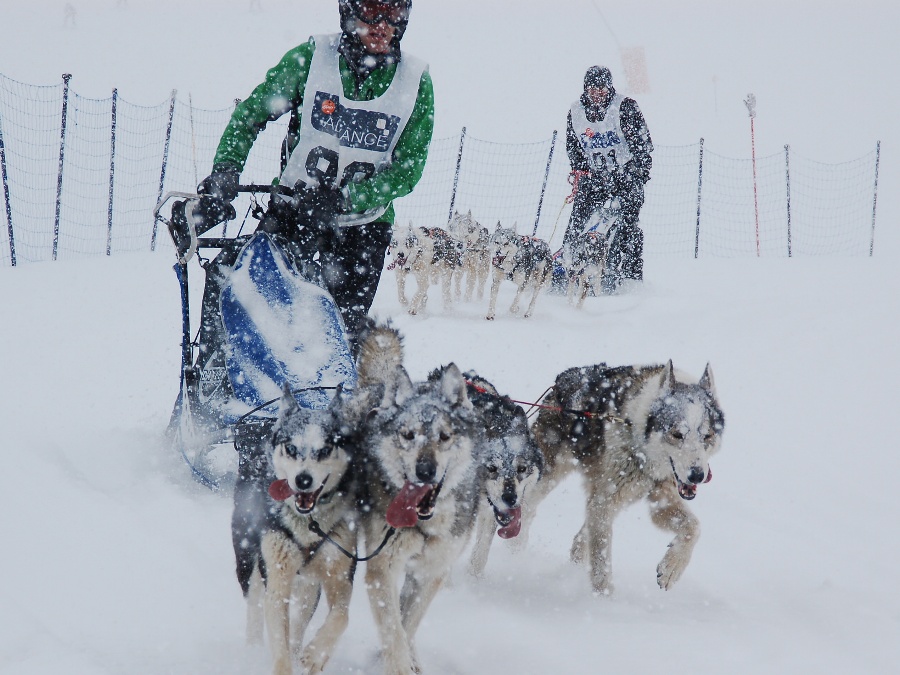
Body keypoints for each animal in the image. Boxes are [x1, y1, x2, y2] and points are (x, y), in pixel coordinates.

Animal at [230, 386, 356, 675]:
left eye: (325, 449)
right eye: (291, 447)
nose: (303, 479)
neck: (309, 524)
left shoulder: (340, 572)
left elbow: (341, 616)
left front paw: (315, 654)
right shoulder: (277, 577)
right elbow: (279, 639)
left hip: (309, 583)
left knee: (300, 622)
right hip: (249, 559)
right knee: (255, 606)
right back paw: (252, 649)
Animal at [356, 324, 486, 672]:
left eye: (444, 436)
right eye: (408, 435)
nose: (425, 470)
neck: (424, 525)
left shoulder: (430, 571)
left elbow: (408, 621)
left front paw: (404, 658)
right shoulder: (382, 569)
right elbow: (394, 630)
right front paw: (398, 664)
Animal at [528, 362, 724, 596]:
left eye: (707, 435)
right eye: (677, 434)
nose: (698, 475)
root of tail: (561, 380)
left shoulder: (660, 499)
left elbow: (693, 527)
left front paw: (671, 569)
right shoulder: (605, 502)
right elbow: (602, 566)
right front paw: (605, 600)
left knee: (580, 538)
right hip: (548, 477)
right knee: (525, 511)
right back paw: (516, 554)